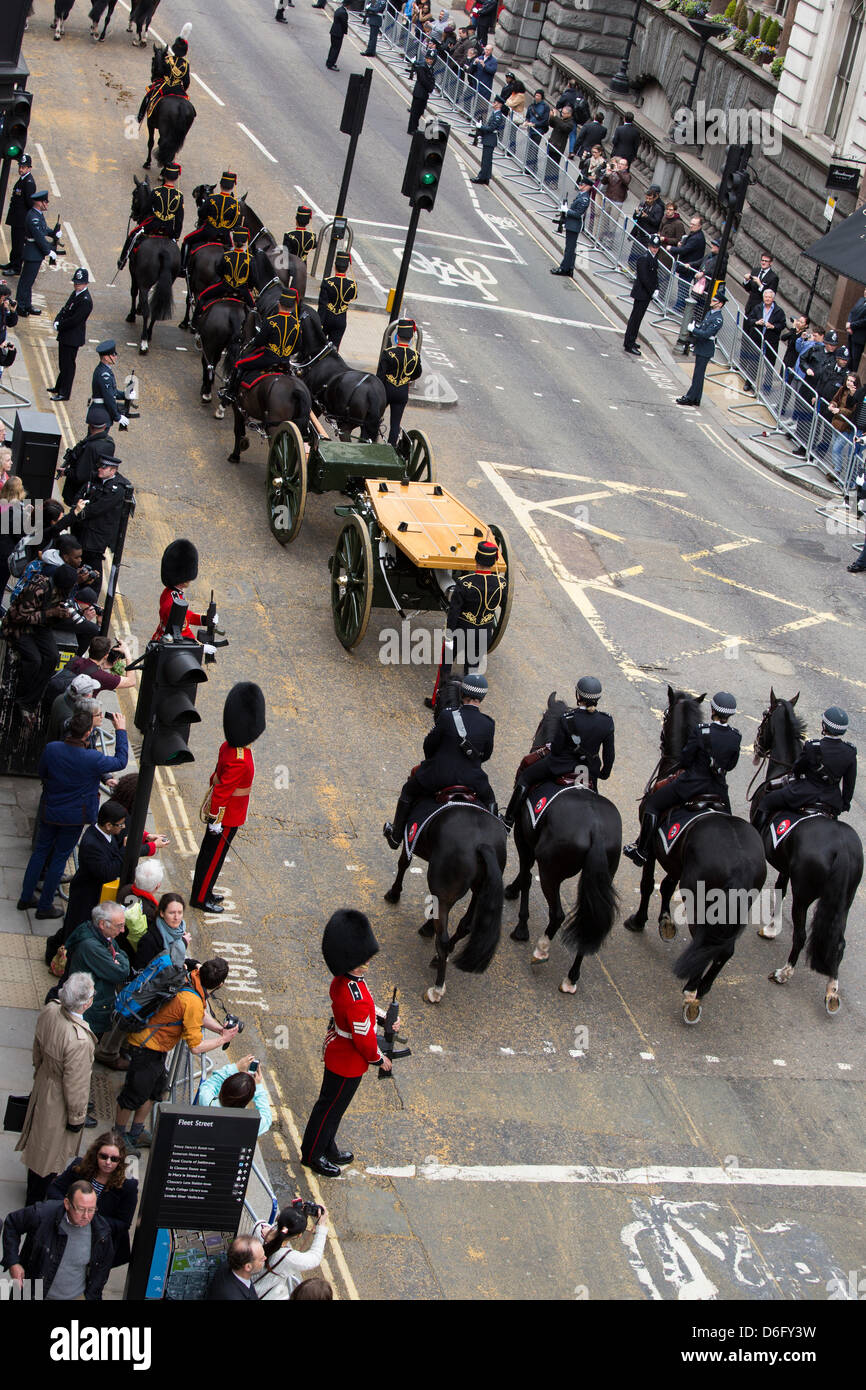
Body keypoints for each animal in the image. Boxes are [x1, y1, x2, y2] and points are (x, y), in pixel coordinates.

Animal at [126, 176, 180, 353]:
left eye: (134, 194)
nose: (134, 214)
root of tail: (162, 251)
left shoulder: (133, 272)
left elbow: (133, 291)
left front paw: (132, 314)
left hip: (143, 280)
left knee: (147, 308)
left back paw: (143, 341)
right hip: (168, 281)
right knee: (156, 309)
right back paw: (148, 334)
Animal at [508, 700, 622, 995]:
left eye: (541, 721)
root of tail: (595, 828)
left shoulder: (523, 838)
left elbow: (526, 875)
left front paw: (521, 923)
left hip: (551, 872)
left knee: (557, 914)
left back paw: (541, 950)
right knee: (588, 923)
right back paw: (571, 978)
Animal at [622, 683, 767, 1023]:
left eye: (665, 715)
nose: (663, 740)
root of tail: (741, 863)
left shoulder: (654, 850)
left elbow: (648, 884)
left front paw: (639, 920)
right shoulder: (674, 858)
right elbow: (665, 887)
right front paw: (665, 923)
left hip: (703, 900)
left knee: (707, 943)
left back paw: (690, 990)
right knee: (724, 950)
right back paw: (701, 990)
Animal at [750, 692, 861, 1011]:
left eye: (765, 718)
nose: (758, 748)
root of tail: (842, 850)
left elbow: (778, 887)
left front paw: (770, 927)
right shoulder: (785, 863)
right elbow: (779, 886)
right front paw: (772, 926)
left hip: (804, 895)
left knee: (800, 936)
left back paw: (783, 973)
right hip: (844, 901)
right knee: (838, 941)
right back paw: (832, 990)